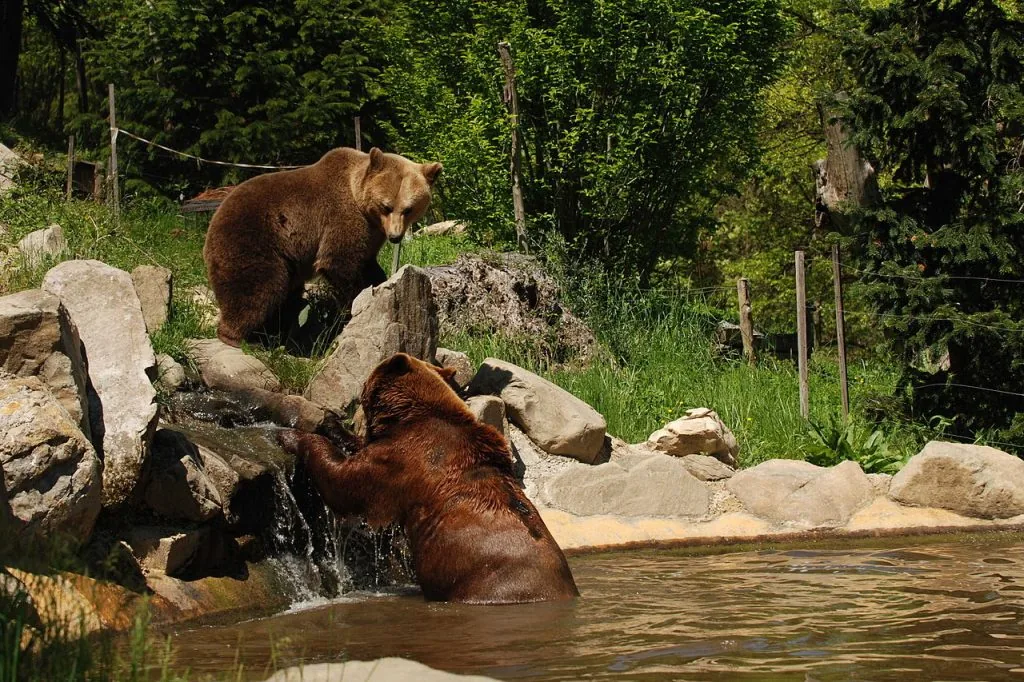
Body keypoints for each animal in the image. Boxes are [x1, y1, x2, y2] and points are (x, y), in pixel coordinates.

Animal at [202, 144, 440, 346]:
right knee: (259, 288)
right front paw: (354, 305)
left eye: (409, 209)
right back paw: (241, 338)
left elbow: (367, 262)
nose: (395, 236)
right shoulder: (340, 216)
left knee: (286, 295)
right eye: (386, 206)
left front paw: (381, 282)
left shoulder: (371, 232)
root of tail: (212, 222)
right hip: (251, 241)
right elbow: (338, 262)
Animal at [276, 352, 581, 602]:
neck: (408, 413)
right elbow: (357, 449)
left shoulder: (403, 459)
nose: (350, 404)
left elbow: (346, 484)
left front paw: (291, 436)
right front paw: (330, 423)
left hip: (485, 582)